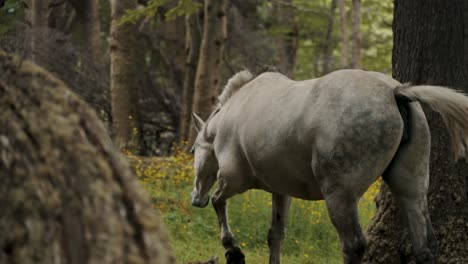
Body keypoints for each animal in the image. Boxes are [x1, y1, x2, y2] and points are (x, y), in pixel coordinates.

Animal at [189, 69, 468, 262]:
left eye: (193, 150)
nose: (195, 198)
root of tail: (395, 92)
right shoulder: (281, 191)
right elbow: (275, 235)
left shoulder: (233, 179)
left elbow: (219, 202)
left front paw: (233, 252)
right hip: (412, 190)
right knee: (425, 246)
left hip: (340, 196)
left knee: (353, 245)